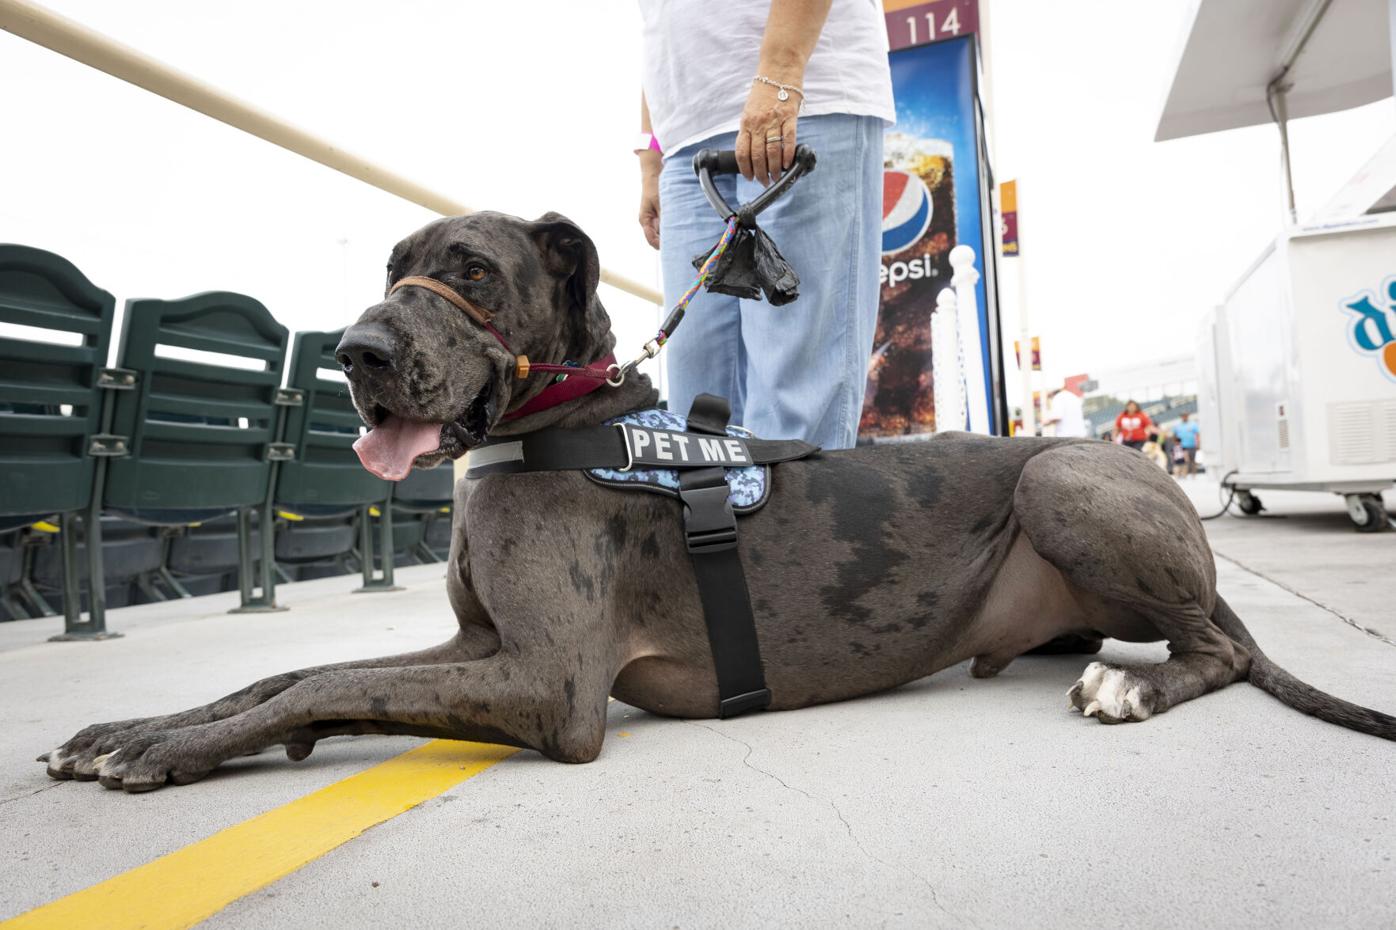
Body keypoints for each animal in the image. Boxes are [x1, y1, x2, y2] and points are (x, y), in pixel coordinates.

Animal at [38, 209, 1390, 787]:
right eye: (391, 269)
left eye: (472, 269)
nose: (354, 353)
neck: (554, 430)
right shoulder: (480, 645)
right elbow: (291, 676)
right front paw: (138, 729)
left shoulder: (551, 685)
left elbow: (319, 683)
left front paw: (164, 752)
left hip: (1064, 471)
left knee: (1218, 647)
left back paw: (1132, 684)